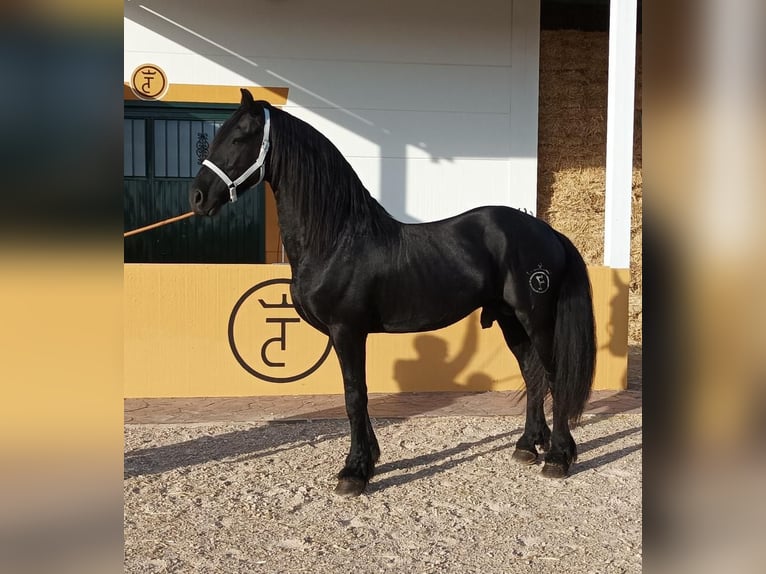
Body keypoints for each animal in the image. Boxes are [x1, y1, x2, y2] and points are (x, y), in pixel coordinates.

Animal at [190, 89, 596, 497]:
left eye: (239, 136)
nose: (197, 196)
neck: (337, 237)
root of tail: (547, 231)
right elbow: (358, 394)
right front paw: (369, 459)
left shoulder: (347, 331)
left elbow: (355, 395)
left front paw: (354, 471)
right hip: (510, 319)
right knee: (532, 373)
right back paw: (528, 446)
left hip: (536, 318)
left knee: (554, 375)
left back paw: (558, 458)